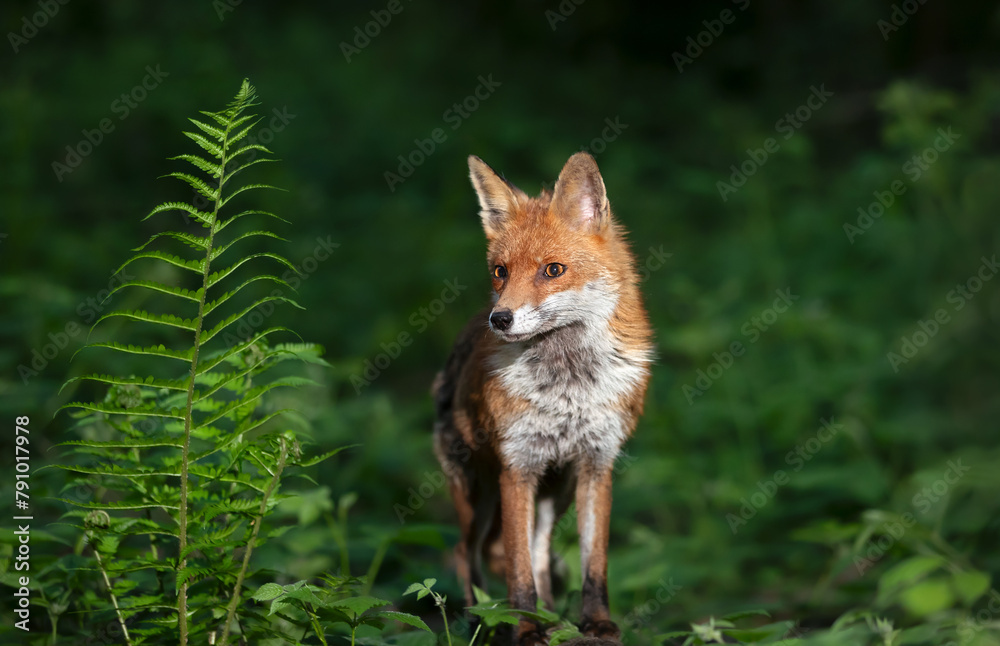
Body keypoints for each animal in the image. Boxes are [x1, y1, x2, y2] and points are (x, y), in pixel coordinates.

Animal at [432, 153, 656, 646]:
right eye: (500, 271)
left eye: (552, 270)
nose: (500, 319)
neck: (568, 386)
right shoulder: (517, 467)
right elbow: (516, 573)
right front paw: (525, 628)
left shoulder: (596, 464)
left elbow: (592, 564)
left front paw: (596, 623)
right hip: (478, 495)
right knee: (465, 553)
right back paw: (480, 623)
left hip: (557, 490)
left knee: (537, 551)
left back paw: (553, 617)